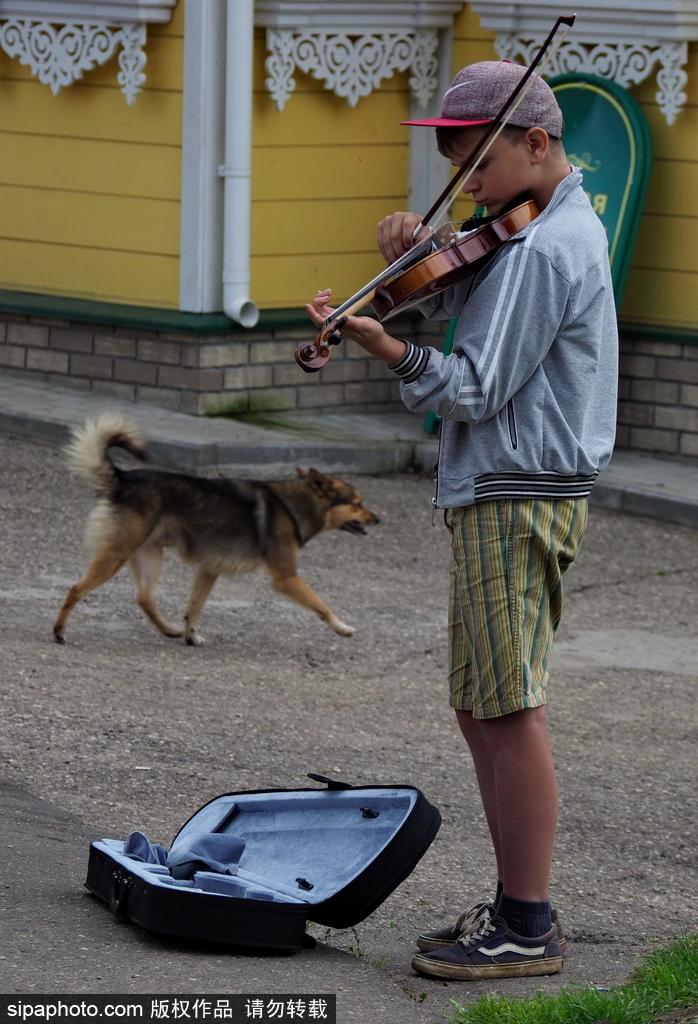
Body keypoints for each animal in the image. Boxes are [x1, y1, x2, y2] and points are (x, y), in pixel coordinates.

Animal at [51, 411, 378, 643]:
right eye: (358, 503)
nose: (378, 519)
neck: (295, 503)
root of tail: (124, 478)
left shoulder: (209, 569)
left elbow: (194, 607)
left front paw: (190, 635)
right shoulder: (286, 578)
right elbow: (321, 604)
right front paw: (343, 627)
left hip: (148, 555)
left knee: (145, 599)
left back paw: (169, 630)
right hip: (116, 554)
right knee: (76, 588)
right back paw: (59, 631)